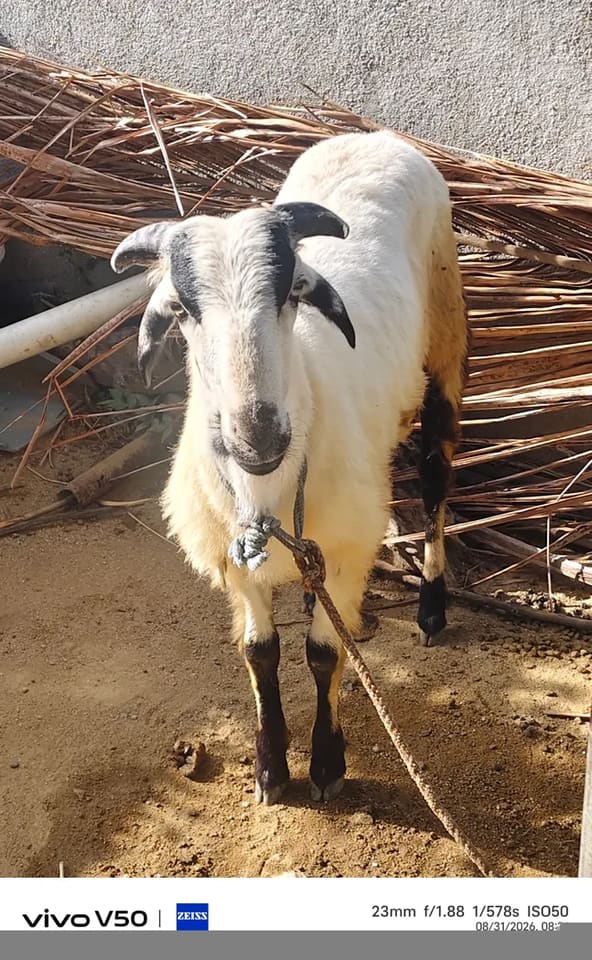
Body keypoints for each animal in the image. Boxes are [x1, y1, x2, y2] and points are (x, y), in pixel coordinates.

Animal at [111, 130, 468, 806]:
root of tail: (376, 137)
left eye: (293, 291)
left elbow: (323, 654)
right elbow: (260, 652)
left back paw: (432, 608)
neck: (269, 489)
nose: (258, 434)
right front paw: (271, 768)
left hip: (446, 335)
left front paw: (326, 766)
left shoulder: (351, 545)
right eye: (182, 309)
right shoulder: (233, 558)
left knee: (436, 480)